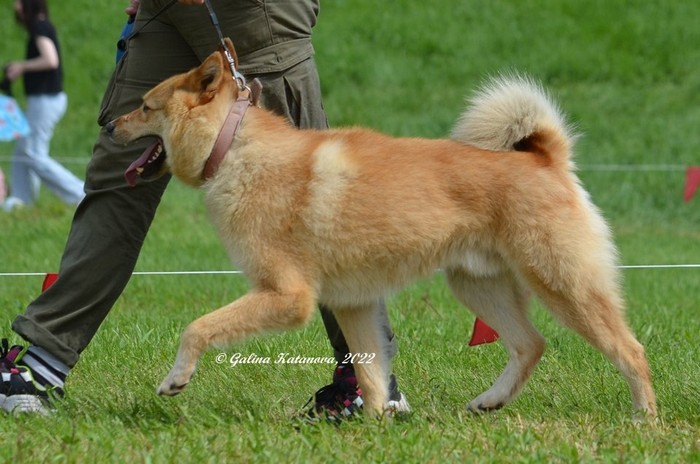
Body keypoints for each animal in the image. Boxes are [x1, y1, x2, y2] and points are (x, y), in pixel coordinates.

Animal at [106, 40, 656, 419]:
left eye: (146, 106)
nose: (107, 124)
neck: (235, 150)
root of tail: (545, 158)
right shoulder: (352, 302)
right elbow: (371, 376)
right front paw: (374, 427)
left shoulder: (288, 295)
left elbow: (196, 328)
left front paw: (176, 379)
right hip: (478, 285)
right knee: (530, 345)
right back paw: (489, 401)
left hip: (563, 284)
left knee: (629, 350)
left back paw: (644, 420)